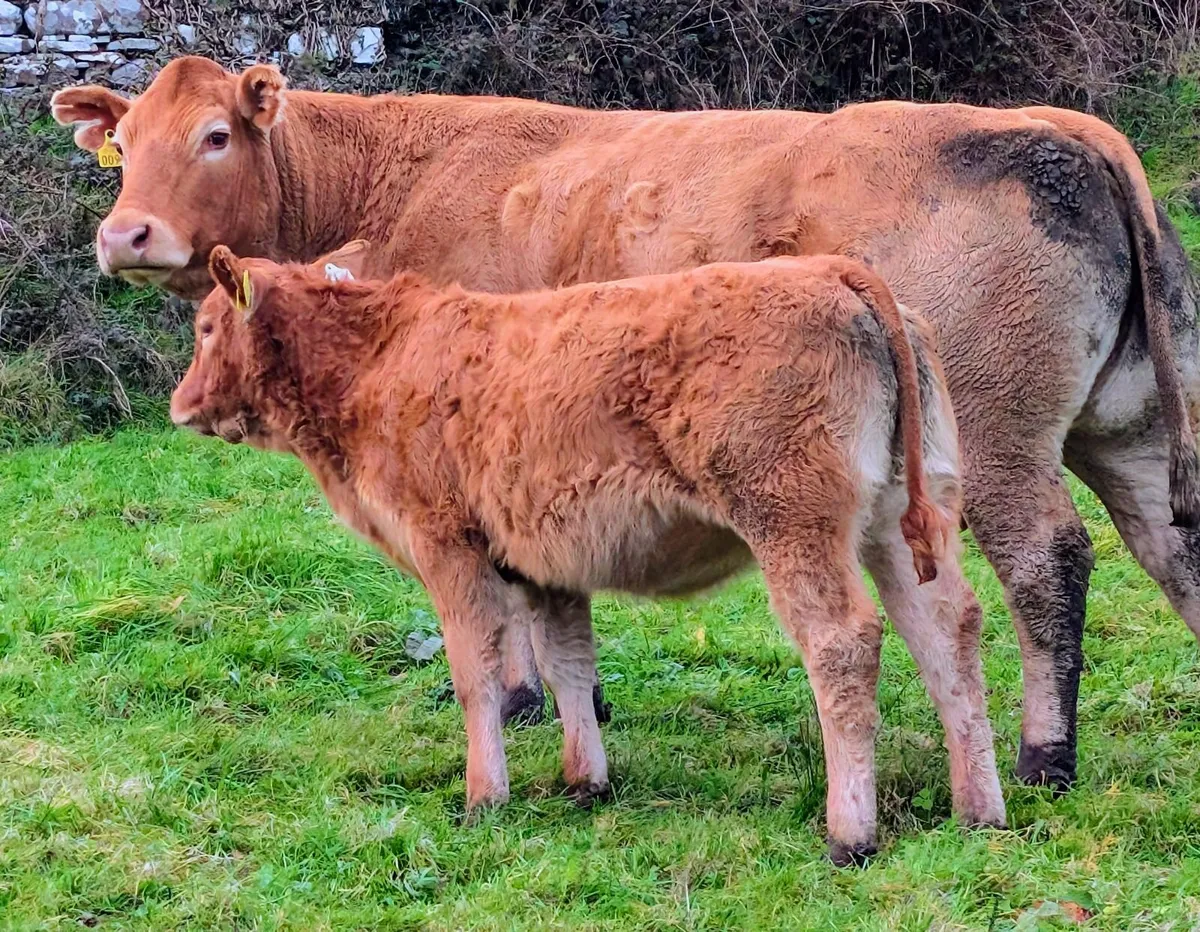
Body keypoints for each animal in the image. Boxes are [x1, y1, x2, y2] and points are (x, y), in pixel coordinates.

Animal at [52, 57, 1200, 790]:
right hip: (1134, 430)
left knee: (1045, 562)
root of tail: (1051, 123)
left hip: (992, 447)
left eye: (213, 136)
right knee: (1173, 545)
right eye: (122, 147)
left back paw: (1045, 758)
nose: (125, 233)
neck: (396, 177)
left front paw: (523, 707)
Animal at [169, 242, 1005, 865]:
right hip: (900, 524)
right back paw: (980, 809)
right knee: (947, 630)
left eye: (207, 326)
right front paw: (585, 782)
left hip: (794, 524)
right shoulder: (545, 564)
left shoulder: (449, 548)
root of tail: (833, 269)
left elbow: (477, 675)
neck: (379, 356)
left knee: (842, 644)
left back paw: (850, 834)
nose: (181, 406)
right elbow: (567, 662)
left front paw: (483, 797)